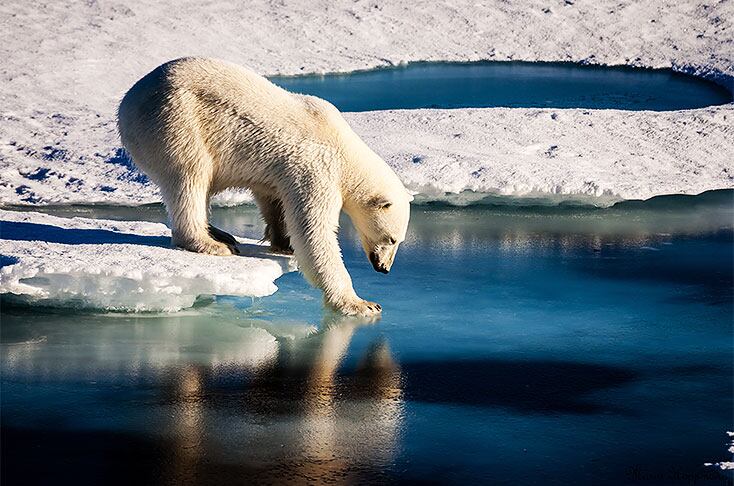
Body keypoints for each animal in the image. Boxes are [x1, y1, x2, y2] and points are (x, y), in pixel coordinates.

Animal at [118, 57, 412, 316]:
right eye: (391, 239)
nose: (384, 268)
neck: (344, 148)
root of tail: (127, 102)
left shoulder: (281, 172)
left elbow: (274, 200)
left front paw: (284, 243)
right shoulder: (317, 168)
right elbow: (314, 232)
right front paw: (362, 304)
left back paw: (220, 233)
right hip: (176, 121)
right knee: (190, 176)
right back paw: (211, 243)